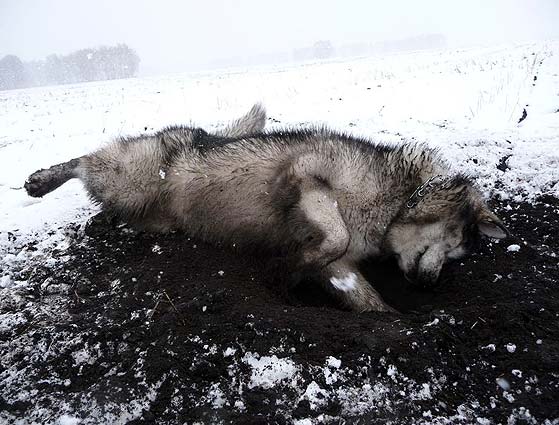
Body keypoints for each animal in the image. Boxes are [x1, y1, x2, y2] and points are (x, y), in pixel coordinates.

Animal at [25, 103, 508, 312]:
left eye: (456, 254)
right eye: (449, 242)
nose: (429, 285)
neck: (389, 200)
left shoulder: (342, 267)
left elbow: (366, 298)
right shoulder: (305, 176)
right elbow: (336, 236)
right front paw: (281, 272)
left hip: (150, 216)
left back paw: (101, 221)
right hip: (131, 177)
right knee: (84, 162)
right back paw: (42, 180)